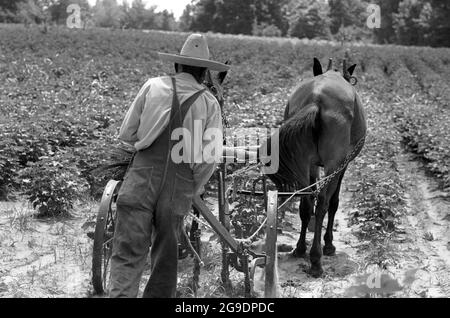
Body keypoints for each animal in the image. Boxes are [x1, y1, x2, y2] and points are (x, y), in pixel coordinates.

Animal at [268, 58, 366, 278]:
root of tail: (317, 97)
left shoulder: (313, 165)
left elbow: (309, 202)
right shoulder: (343, 164)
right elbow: (334, 202)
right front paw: (329, 244)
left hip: (304, 160)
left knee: (306, 201)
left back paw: (300, 248)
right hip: (333, 162)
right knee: (322, 203)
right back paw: (316, 259)